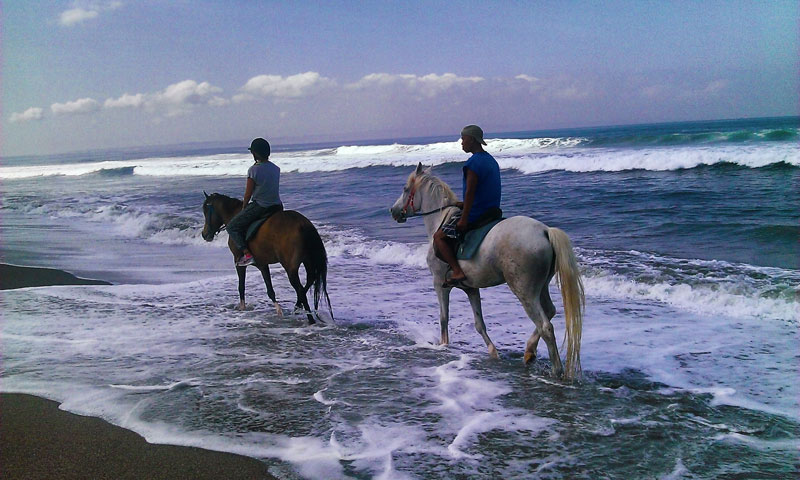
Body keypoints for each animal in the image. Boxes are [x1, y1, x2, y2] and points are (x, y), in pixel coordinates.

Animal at [203, 193, 334, 324]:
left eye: (205, 211)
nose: (204, 235)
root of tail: (303, 224)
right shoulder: (262, 264)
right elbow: (270, 289)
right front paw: (278, 311)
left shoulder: (238, 261)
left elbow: (241, 287)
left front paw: (243, 308)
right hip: (307, 261)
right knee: (310, 280)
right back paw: (297, 308)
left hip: (290, 268)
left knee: (301, 290)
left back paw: (310, 318)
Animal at [390, 164, 584, 378]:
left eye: (405, 189)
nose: (394, 211)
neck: (440, 219)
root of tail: (545, 231)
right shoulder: (471, 288)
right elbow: (479, 324)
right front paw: (493, 353)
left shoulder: (439, 283)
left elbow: (443, 317)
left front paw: (443, 346)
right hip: (540, 287)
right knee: (549, 312)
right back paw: (529, 352)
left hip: (524, 290)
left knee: (545, 326)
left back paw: (555, 369)